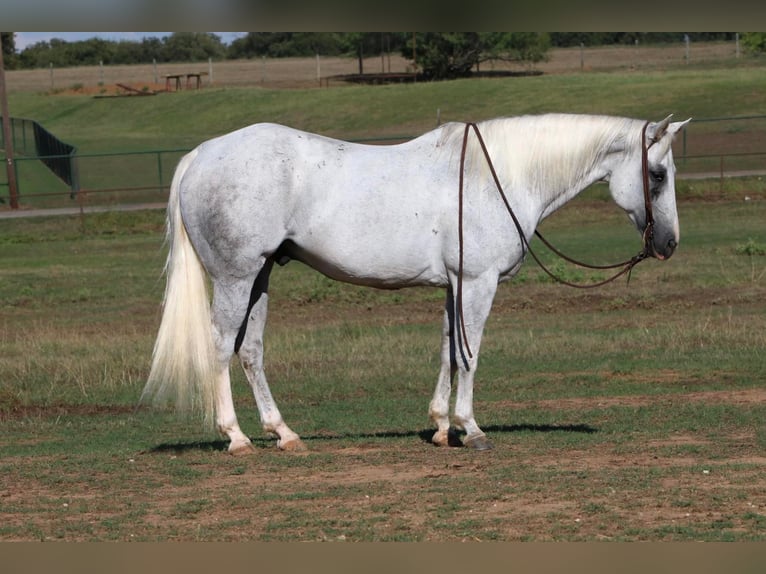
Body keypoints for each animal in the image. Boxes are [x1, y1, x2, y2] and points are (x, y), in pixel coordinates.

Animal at [141, 113, 692, 454]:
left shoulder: (454, 285)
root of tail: (201, 155)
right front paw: (471, 429)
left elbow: (448, 350)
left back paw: (284, 433)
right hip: (236, 278)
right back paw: (235, 437)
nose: (668, 243)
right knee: (219, 347)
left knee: (251, 351)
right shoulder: (477, 283)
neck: (495, 176)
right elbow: (470, 354)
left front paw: (442, 427)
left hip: (260, 277)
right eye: (658, 174)